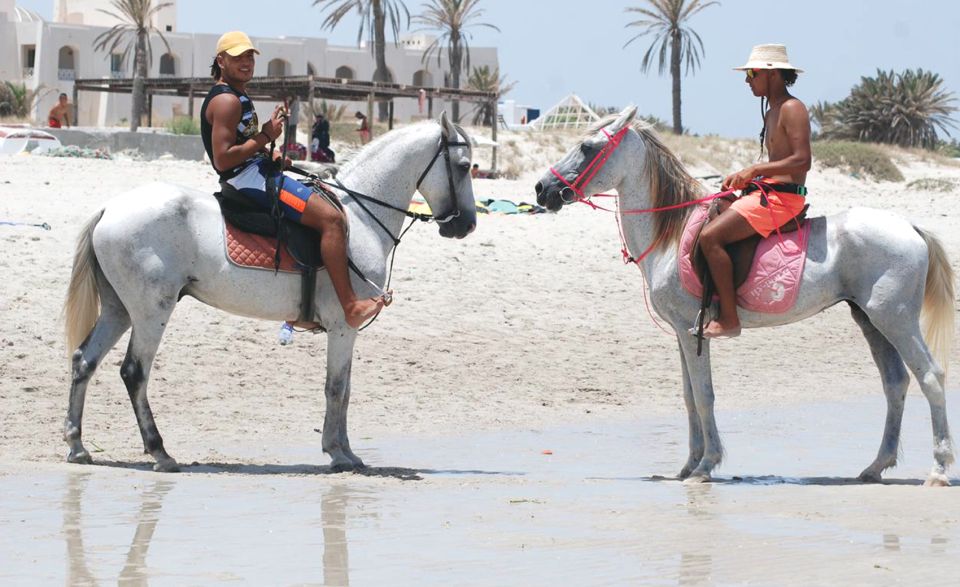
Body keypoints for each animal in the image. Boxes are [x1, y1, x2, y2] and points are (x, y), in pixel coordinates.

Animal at [63, 113, 476, 474]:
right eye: (465, 166)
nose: (467, 225)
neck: (359, 217)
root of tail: (110, 208)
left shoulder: (345, 332)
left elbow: (344, 389)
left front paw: (346, 451)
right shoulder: (344, 327)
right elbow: (336, 388)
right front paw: (338, 453)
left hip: (119, 309)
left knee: (85, 361)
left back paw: (77, 445)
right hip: (152, 311)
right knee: (134, 372)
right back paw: (160, 452)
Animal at [536, 107, 956, 486]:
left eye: (587, 147)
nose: (542, 189)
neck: (672, 233)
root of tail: (910, 227)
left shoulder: (692, 331)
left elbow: (704, 396)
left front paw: (706, 466)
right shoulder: (683, 334)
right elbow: (689, 397)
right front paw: (687, 466)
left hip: (895, 319)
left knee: (930, 376)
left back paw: (938, 470)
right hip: (870, 320)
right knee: (895, 383)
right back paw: (875, 467)